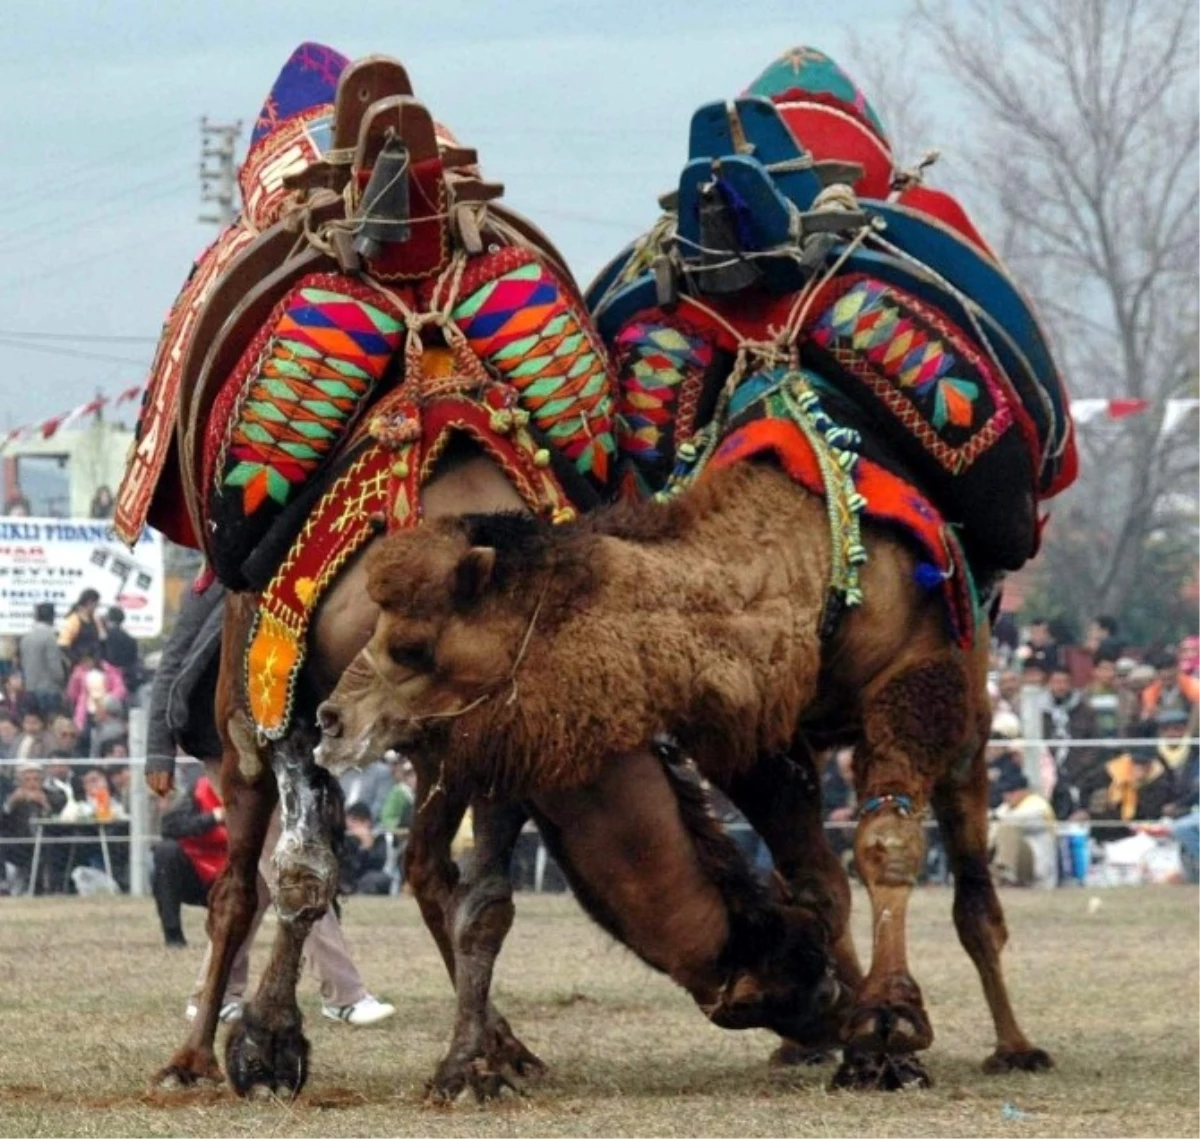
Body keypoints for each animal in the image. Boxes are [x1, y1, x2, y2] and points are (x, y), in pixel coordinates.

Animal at [314, 456, 1056, 1084]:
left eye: (412, 646)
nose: (330, 718)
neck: (800, 568)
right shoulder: (754, 736)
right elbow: (818, 882)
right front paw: (853, 1027)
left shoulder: (914, 682)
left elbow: (885, 846)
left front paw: (890, 1018)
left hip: (968, 716)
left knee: (972, 885)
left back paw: (1014, 1046)